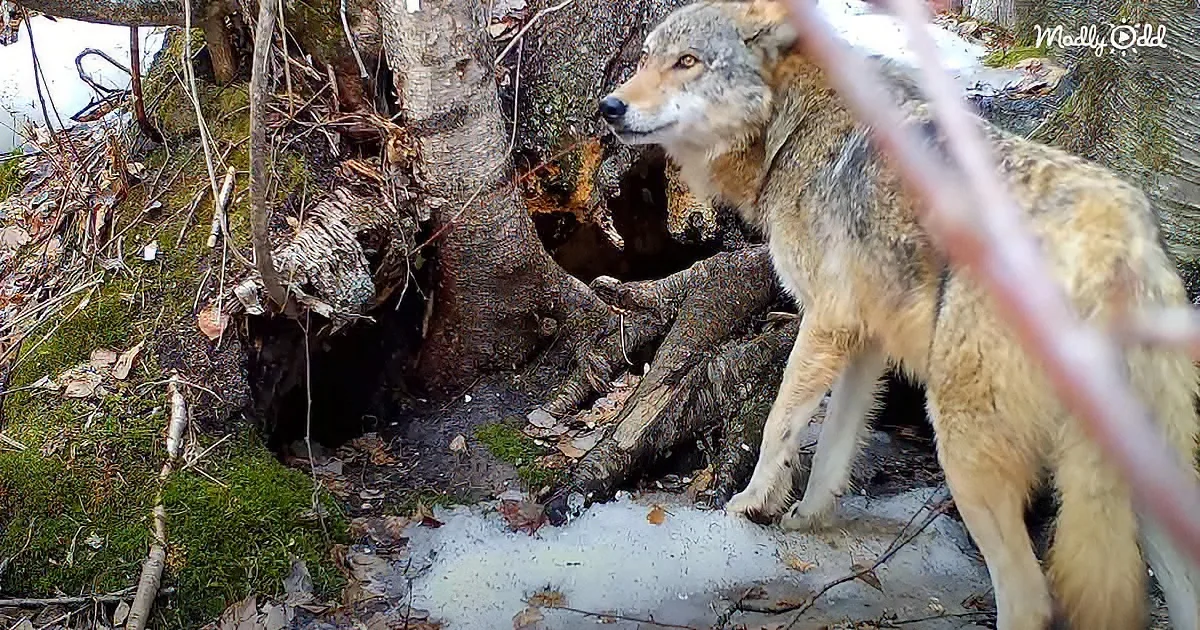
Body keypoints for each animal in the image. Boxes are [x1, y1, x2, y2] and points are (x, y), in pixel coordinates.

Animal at [597, 2, 1200, 629]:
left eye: (687, 62)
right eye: (646, 58)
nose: (608, 106)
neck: (793, 127)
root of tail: (1112, 239)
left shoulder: (825, 321)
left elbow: (778, 424)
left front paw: (749, 505)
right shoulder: (865, 340)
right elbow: (836, 443)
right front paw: (807, 516)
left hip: (965, 448)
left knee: (1029, 595)